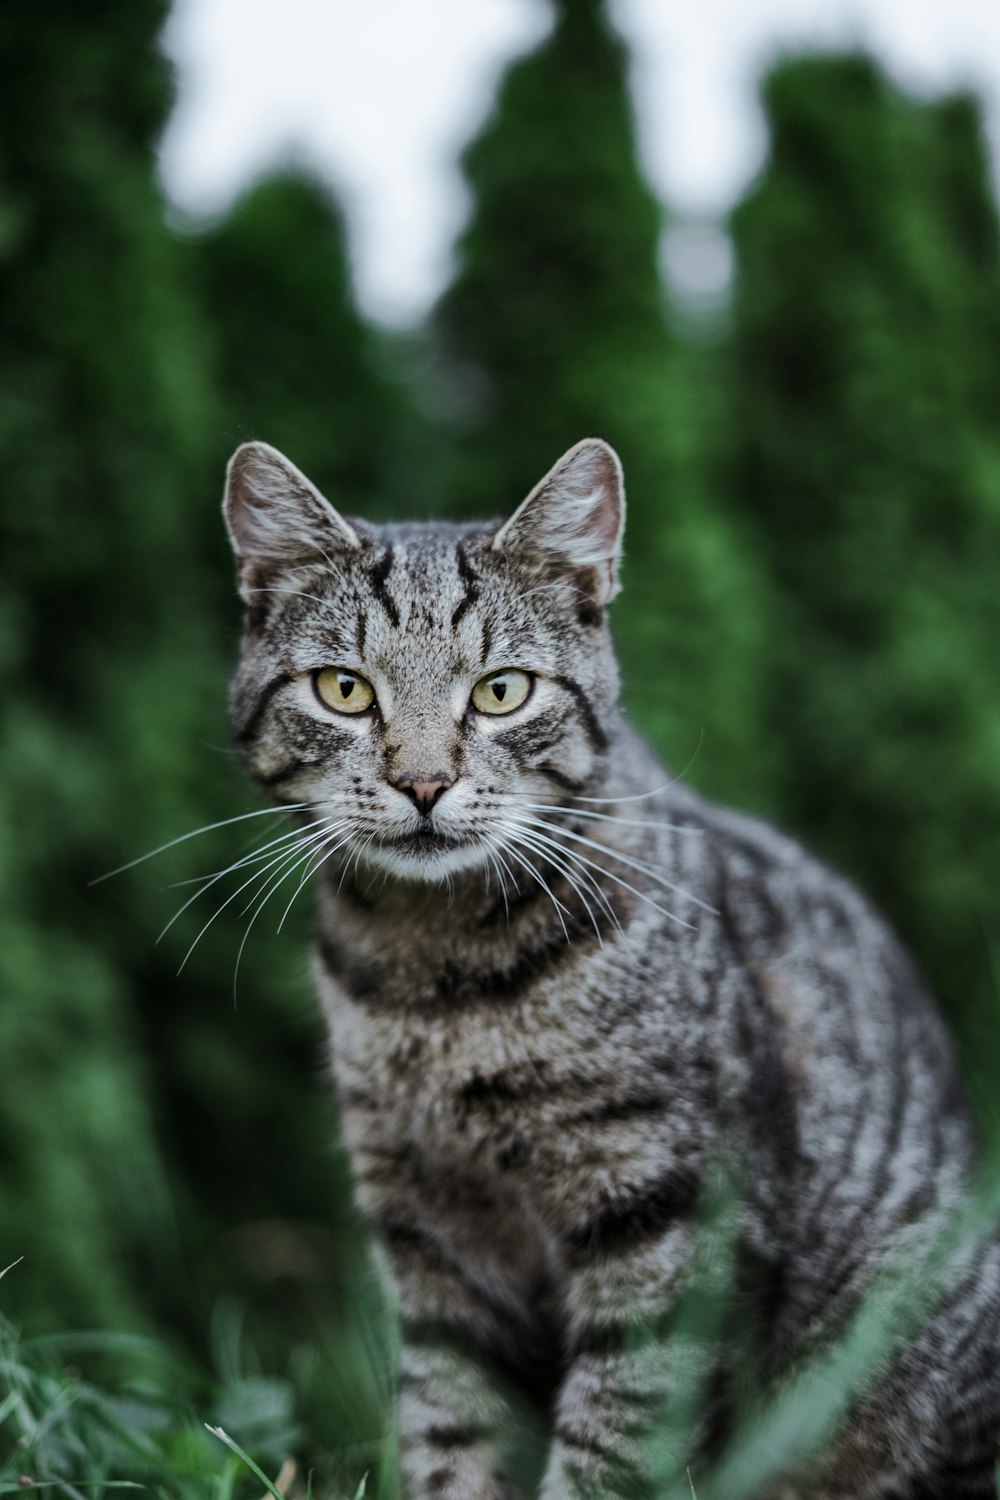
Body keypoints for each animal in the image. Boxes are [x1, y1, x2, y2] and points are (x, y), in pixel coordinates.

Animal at [220, 438, 1000, 1500]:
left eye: (501, 690)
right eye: (345, 689)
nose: (422, 782)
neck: (437, 980)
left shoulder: (664, 1218)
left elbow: (616, 1433)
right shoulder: (431, 1243)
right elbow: (450, 1430)